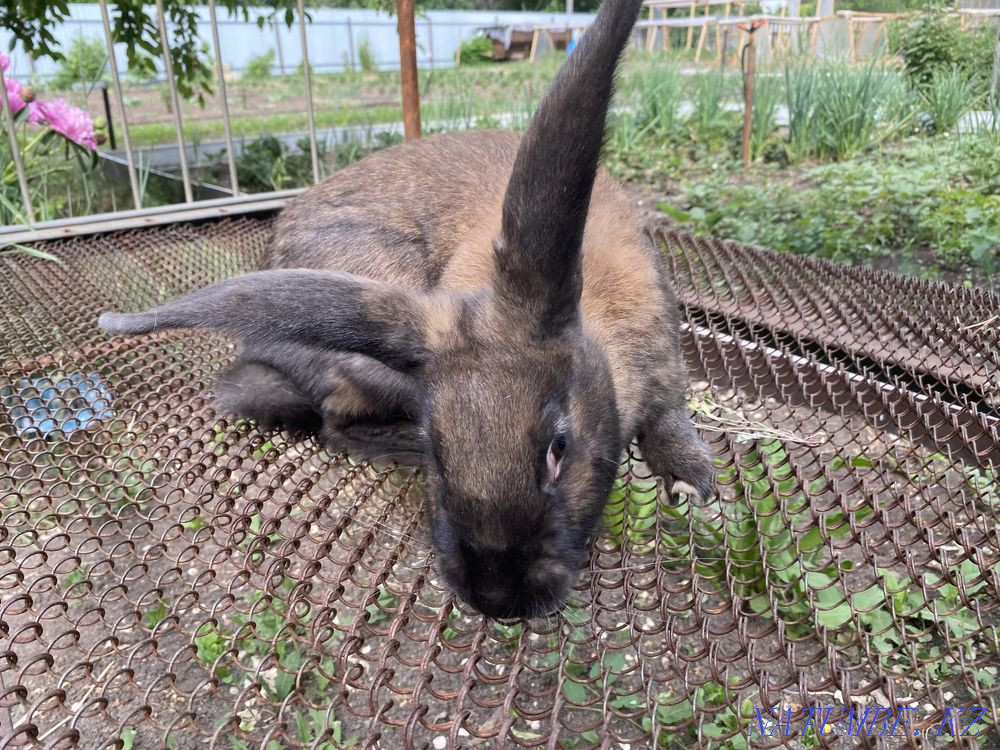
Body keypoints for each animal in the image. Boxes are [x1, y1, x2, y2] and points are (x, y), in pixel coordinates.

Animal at [98, 0, 714, 619]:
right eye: (438, 451)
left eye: (558, 449)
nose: (496, 597)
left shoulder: (664, 365)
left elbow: (670, 420)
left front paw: (692, 478)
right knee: (333, 423)